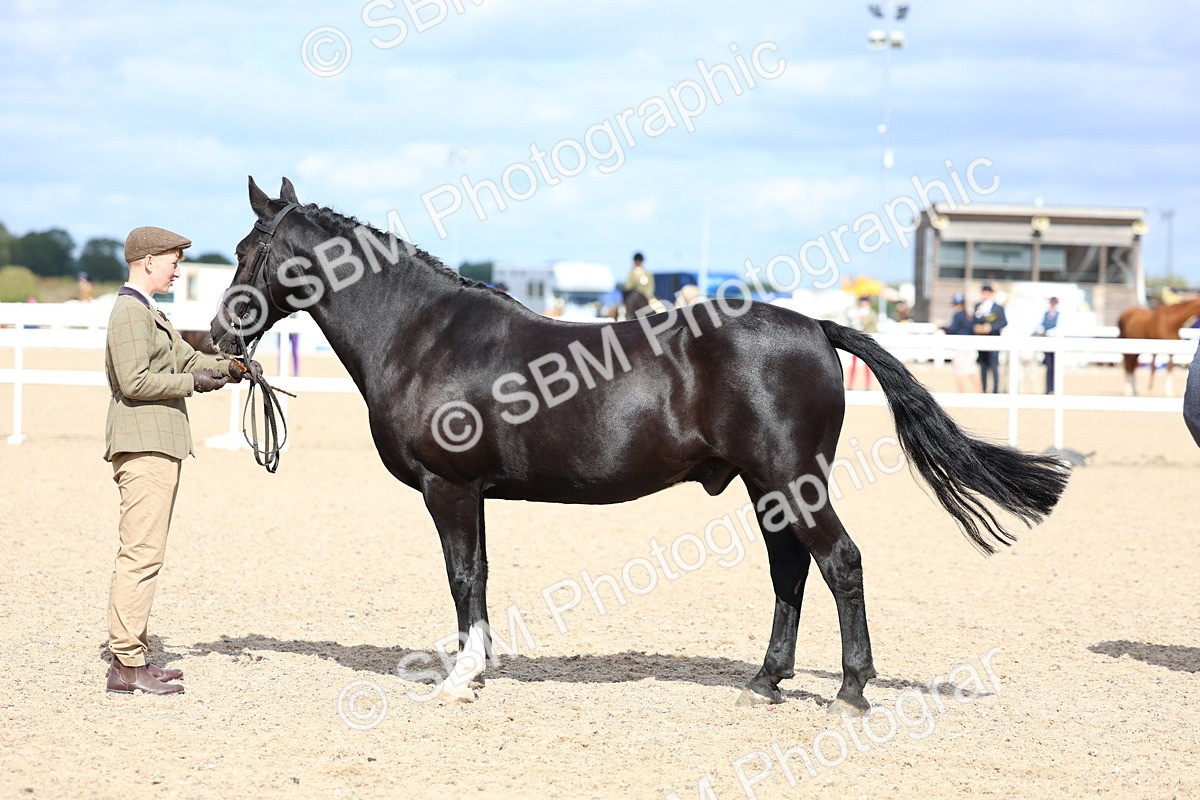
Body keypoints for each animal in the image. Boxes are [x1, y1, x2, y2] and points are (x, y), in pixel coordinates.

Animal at [209, 178, 1069, 715]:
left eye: (251, 248)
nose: (218, 332)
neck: (424, 336)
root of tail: (815, 326)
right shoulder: (475, 494)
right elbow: (478, 577)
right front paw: (479, 668)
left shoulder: (448, 489)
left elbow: (461, 577)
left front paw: (458, 678)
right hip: (766, 487)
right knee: (790, 573)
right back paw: (766, 681)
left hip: (792, 479)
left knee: (840, 563)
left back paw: (852, 689)